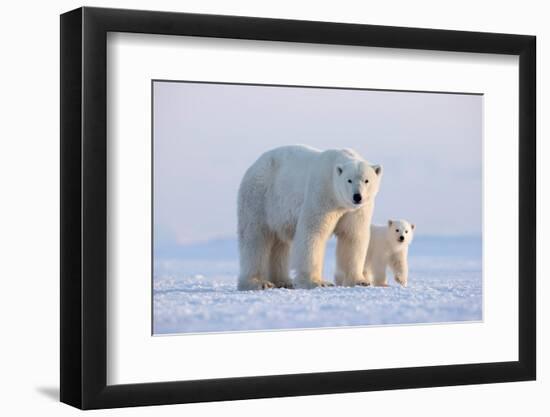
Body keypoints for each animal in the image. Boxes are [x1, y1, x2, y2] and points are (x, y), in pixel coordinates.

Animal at [237, 145, 384, 290]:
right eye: (349, 180)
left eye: (366, 180)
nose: (357, 196)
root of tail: (253, 166)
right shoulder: (322, 194)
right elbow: (313, 232)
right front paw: (317, 282)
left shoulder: (356, 210)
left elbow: (353, 236)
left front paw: (360, 281)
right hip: (259, 197)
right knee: (255, 238)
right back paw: (258, 282)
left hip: (277, 212)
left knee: (279, 243)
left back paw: (283, 281)